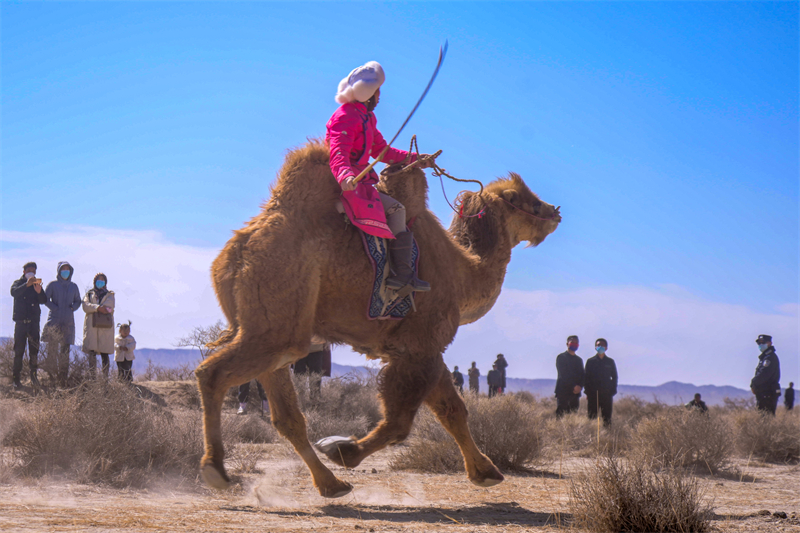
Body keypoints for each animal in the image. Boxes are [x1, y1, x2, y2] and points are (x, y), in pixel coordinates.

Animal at [196, 139, 560, 496]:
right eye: (522, 199)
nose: (554, 211)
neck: (462, 273)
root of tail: (238, 249)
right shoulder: (419, 346)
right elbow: (401, 423)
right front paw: (342, 449)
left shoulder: (424, 350)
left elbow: (453, 410)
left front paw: (486, 472)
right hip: (278, 320)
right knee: (212, 373)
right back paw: (215, 469)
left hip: (274, 329)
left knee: (286, 415)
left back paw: (331, 484)